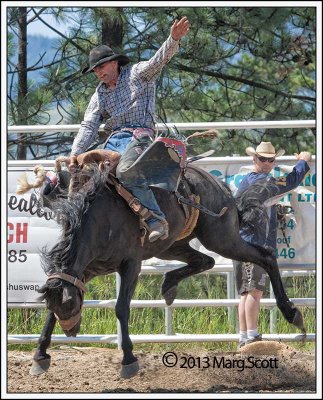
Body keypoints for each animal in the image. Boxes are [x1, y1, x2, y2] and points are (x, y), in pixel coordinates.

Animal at [17, 140, 306, 378]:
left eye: (68, 305)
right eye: (57, 305)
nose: (72, 331)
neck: (99, 220)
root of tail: (220, 186)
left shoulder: (131, 264)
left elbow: (121, 308)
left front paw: (129, 360)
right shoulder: (87, 269)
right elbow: (54, 310)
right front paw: (40, 355)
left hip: (221, 237)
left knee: (264, 256)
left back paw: (292, 313)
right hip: (171, 246)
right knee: (205, 262)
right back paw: (168, 286)